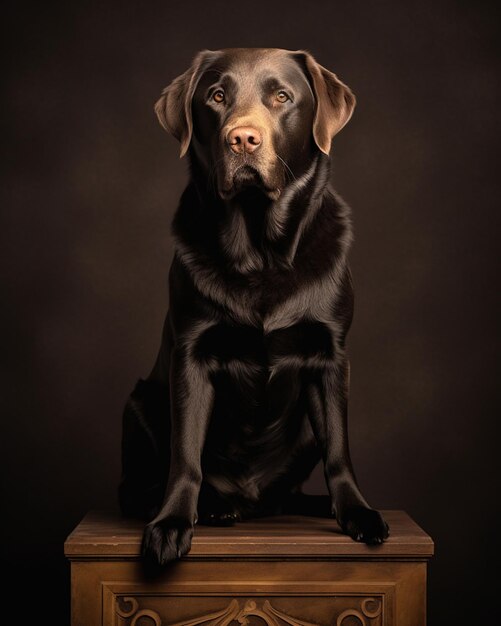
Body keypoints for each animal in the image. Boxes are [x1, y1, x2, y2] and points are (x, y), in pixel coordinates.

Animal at [119, 47, 388, 564]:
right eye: (216, 96)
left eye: (281, 96)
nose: (242, 139)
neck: (260, 253)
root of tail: (252, 497)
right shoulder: (190, 354)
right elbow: (185, 453)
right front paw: (172, 522)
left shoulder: (331, 357)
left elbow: (339, 451)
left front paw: (357, 512)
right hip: (139, 402)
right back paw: (212, 506)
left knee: (292, 488)